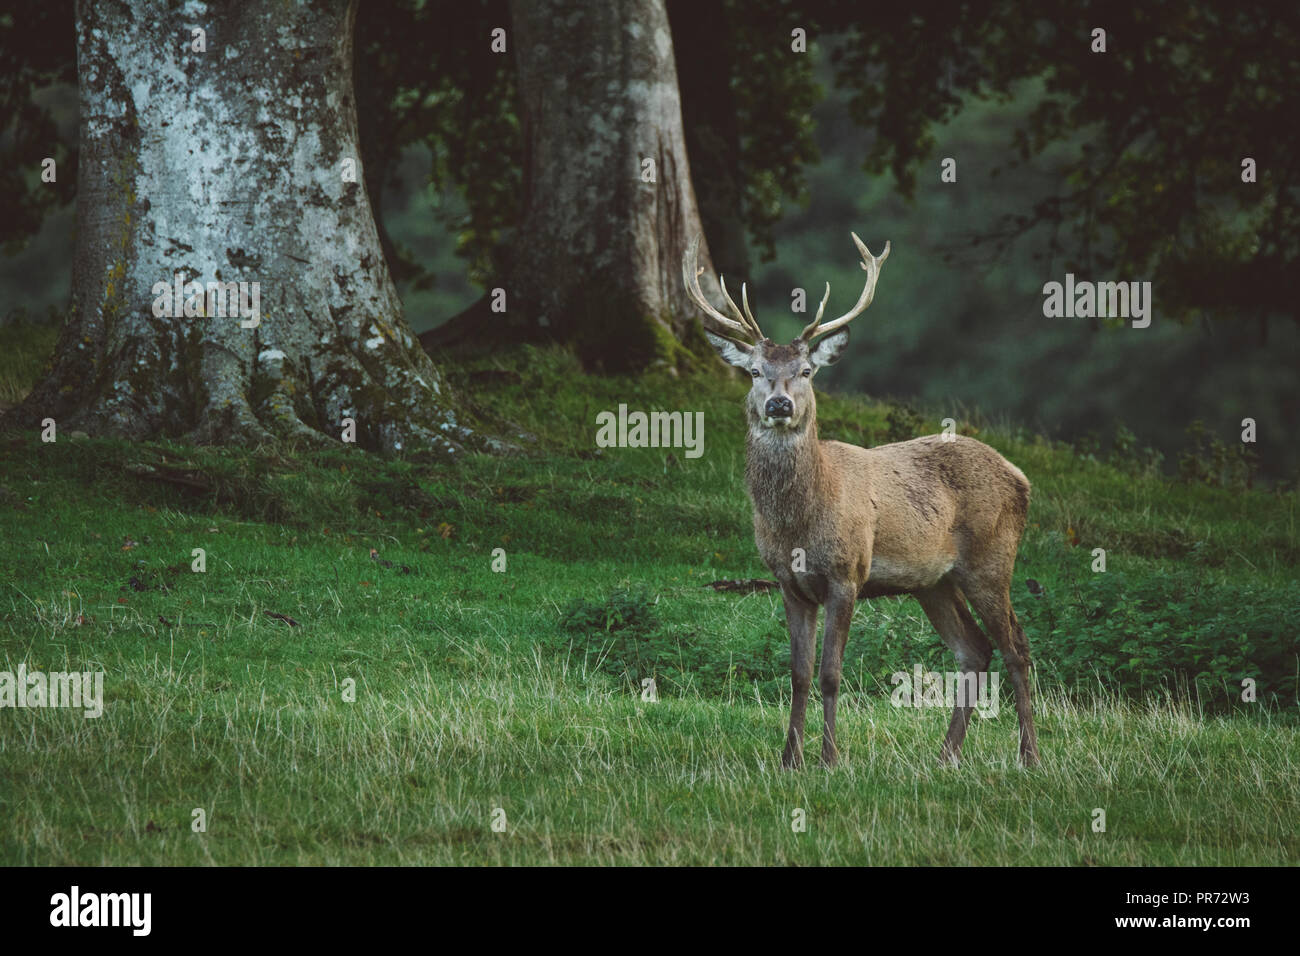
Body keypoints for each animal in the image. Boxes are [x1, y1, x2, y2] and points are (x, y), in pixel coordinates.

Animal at [682, 232, 1038, 769]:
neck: (798, 521)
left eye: (807, 370)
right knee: (974, 649)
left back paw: (1028, 755)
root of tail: (1022, 478)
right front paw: (789, 759)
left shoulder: (847, 574)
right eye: (755, 372)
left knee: (1016, 645)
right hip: (933, 581)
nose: (780, 404)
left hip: (991, 560)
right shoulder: (787, 582)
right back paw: (945, 756)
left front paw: (830, 759)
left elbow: (831, 672)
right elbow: (799, 674)